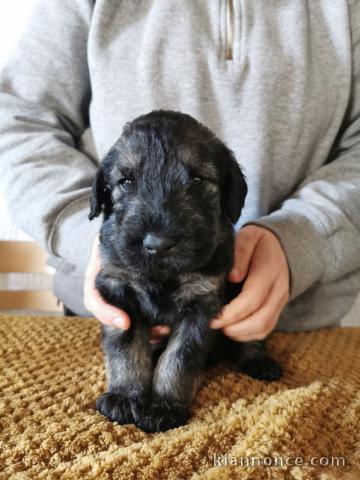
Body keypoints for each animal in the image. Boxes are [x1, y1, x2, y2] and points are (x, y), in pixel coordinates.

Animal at [89, 110, 282, 434]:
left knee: (249, 339)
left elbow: (178, 359)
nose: (157, 244)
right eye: (126, 181)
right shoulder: (118, 293)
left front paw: (164, 406)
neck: (162, 276)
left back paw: (259, 361)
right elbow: (126, 350)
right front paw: (125, 395)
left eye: (197, 179)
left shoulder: (201, 304)